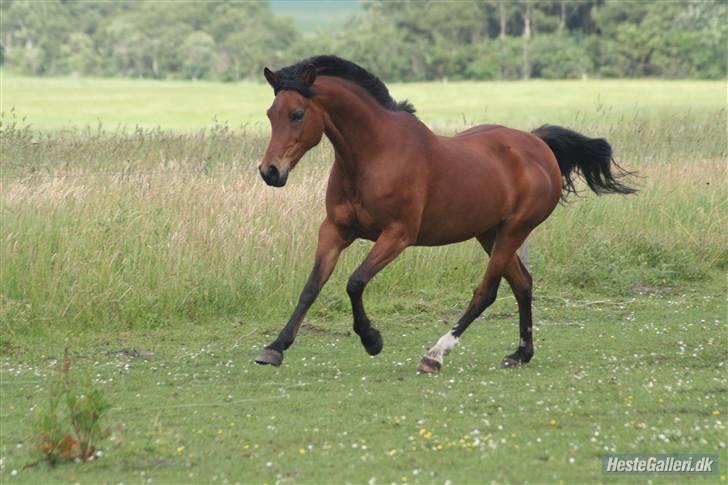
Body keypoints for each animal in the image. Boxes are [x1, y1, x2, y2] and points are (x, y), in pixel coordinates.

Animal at [253, 57, 636, 374]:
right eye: (270, 113)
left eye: (297, 114)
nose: (270, 172)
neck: (373, 155)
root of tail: (537, 143)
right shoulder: (334, 231)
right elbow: (311, 287)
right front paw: (275, 348)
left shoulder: (398, 235)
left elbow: (355, 282)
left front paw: (371, 339)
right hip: (490, 232)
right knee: (522, 283)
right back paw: (520, 354)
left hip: (513, 230)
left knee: (487, 291)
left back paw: (434, 356)